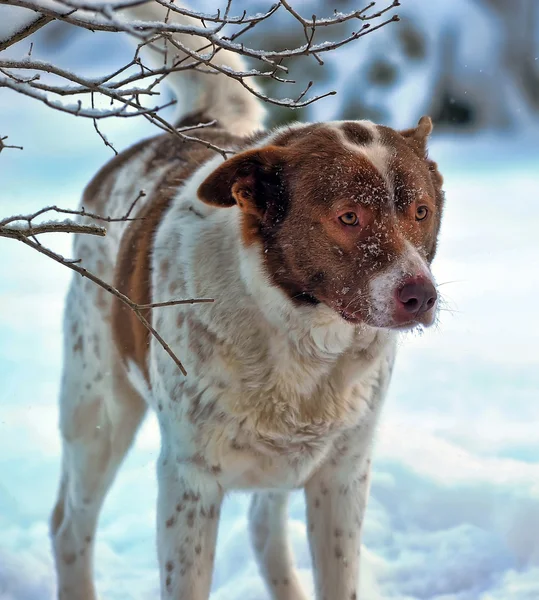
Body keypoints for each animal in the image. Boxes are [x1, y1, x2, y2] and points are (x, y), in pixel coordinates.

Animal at [50, 2, 448, 596]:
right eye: (348, 216)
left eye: (420, 211)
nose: (421, 296)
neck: (298, 335)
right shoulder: (189, 483)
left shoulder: (342, 477)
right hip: (98, 410)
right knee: (70, 527)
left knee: (264, 527)